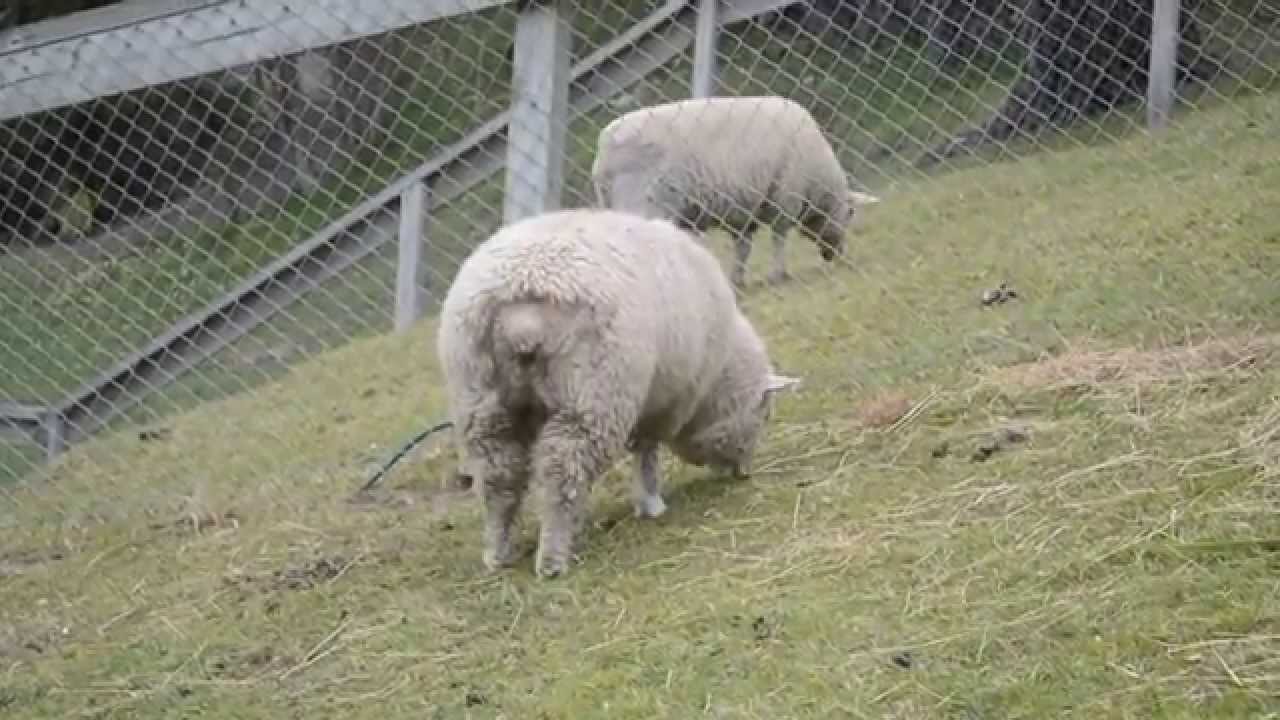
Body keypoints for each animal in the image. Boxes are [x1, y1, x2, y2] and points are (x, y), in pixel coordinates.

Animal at [436, 208, 800, 578]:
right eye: (764, 414)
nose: (745, 474)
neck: (716, 378)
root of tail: (522, 313)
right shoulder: (663, 403)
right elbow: (647, 454)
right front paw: (651, 503)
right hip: (593, 395)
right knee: (561, 472)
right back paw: (554, 558)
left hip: (480, 401)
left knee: (499, 477)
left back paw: (499, 553)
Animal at [590, 95, 880, 290]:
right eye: (851, 213)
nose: (835, 256)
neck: (819, 184)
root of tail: (606, 145)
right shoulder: (785, 198)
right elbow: (779, 238)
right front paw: (779, 274)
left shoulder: (742, 209)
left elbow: (743, 247)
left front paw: (737, 281)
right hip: (643, 199)